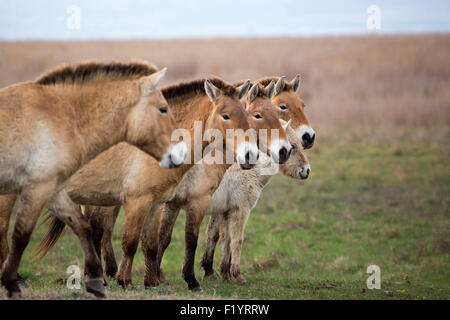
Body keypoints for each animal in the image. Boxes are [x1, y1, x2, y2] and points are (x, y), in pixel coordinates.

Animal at [31, 77, 256, 290]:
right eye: (225, 115)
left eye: (247, 115)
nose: (250, 155)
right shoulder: (138, 202)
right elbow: (131, 242)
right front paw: (126, 282)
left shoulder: (156, 204)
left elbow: (151, 243)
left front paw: (151, 283)